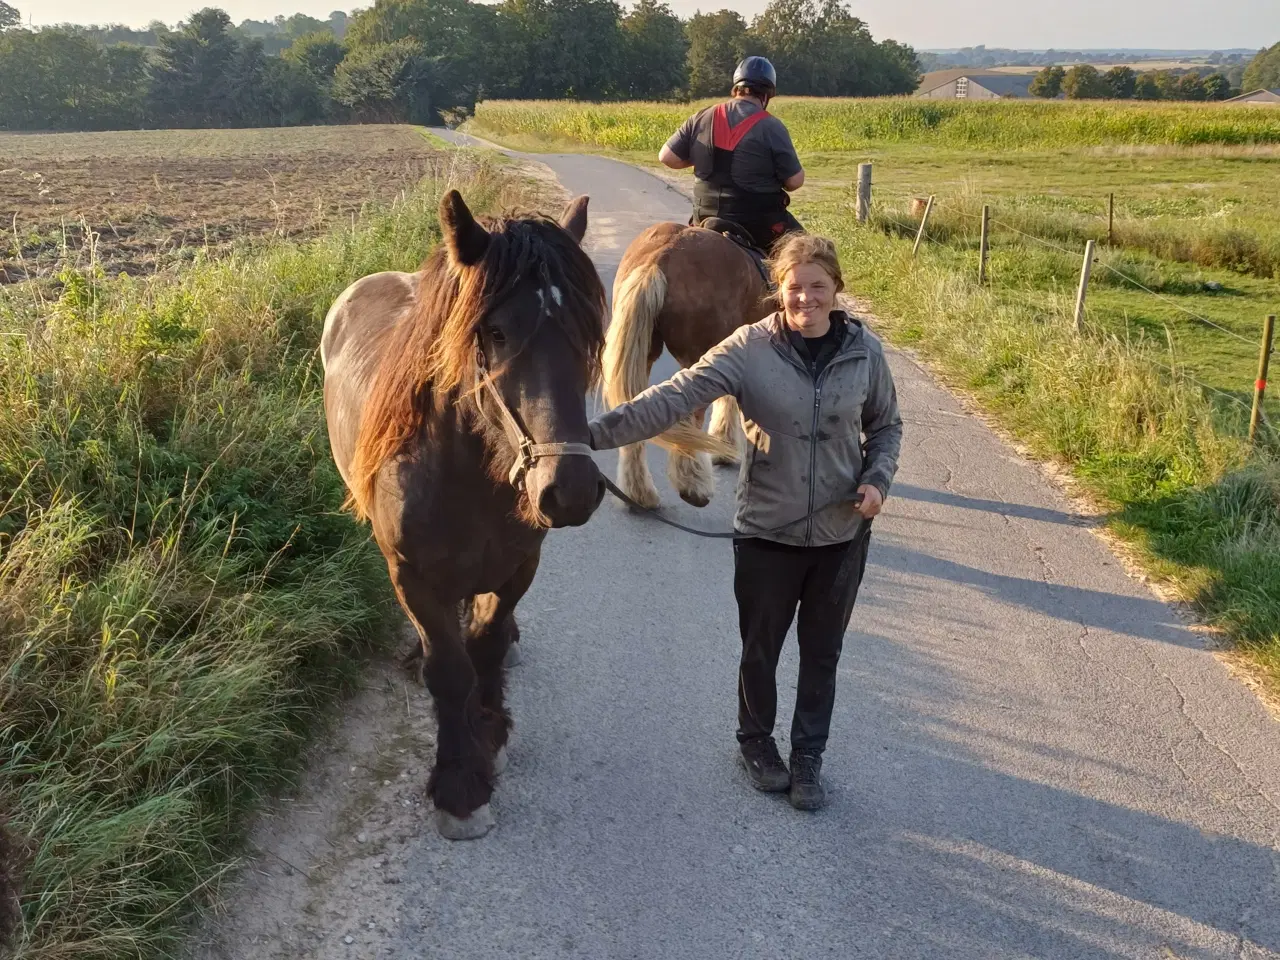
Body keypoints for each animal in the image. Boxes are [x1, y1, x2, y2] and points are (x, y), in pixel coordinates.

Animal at [320, 192, 609, 839]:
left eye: (589, 333)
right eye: (495, 333)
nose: (571, 491)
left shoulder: (519, 567)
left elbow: (488, 644)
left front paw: (489, 728)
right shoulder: (413, 577)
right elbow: (449, 668)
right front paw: (459, 782)